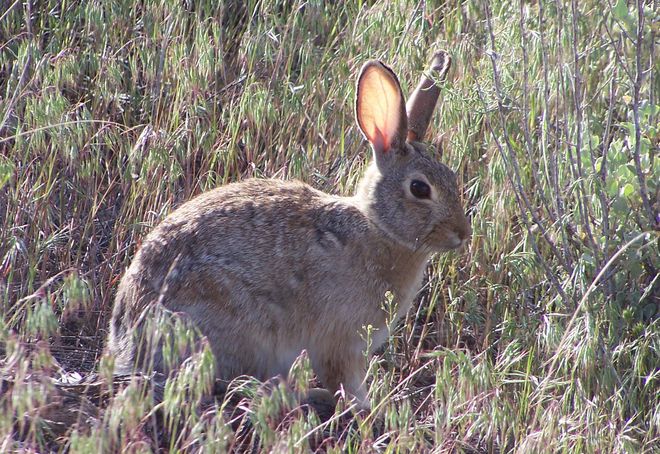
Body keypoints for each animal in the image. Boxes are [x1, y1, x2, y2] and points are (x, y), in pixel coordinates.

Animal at [107, 51, 470, 410]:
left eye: (453, 177)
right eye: (420, 189)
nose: (462, 233)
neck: (377, 226)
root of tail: (128, 343)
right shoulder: (340, 342)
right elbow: (345, 382)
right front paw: (369, 409)